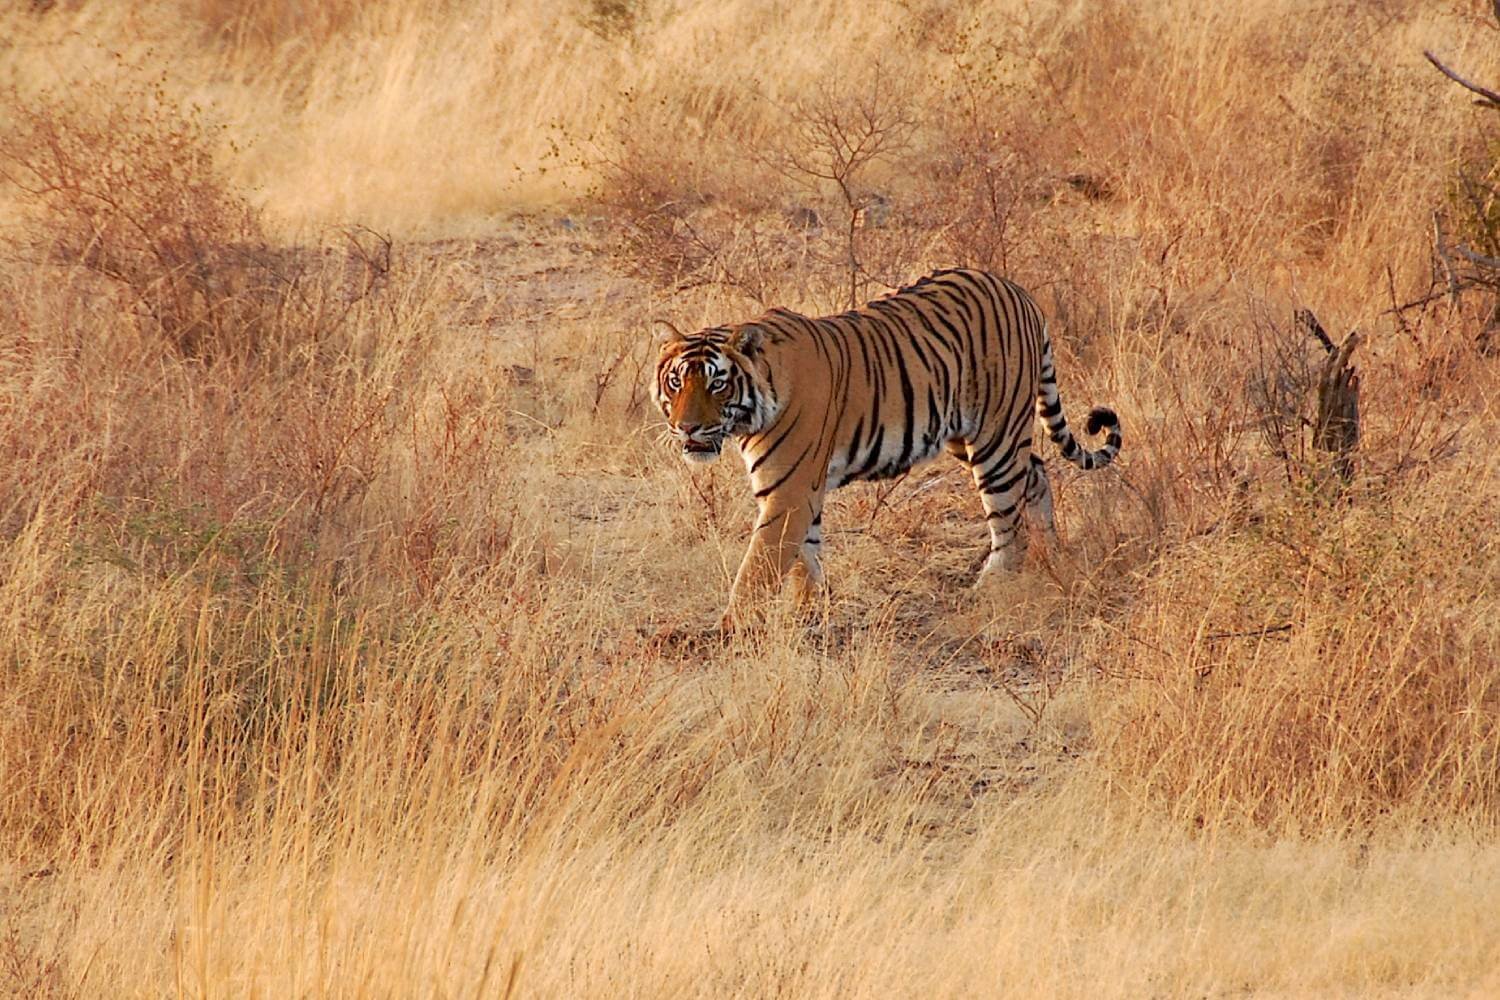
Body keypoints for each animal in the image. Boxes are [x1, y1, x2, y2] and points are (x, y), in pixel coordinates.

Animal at [651, 265, 1122, 626]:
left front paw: (729, 630)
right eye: (676, 382)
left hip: (996, 439)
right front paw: (810, 611)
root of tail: (1018, 290)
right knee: (1037, 473)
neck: (754, 409)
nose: (688, 428)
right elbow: (805, 557)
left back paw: (994, 586)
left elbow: (757, 569)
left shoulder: (787, 492)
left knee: (1008, 516)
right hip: (963, 436)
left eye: (717, 383)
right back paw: (1052, 555)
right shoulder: (800, 491)